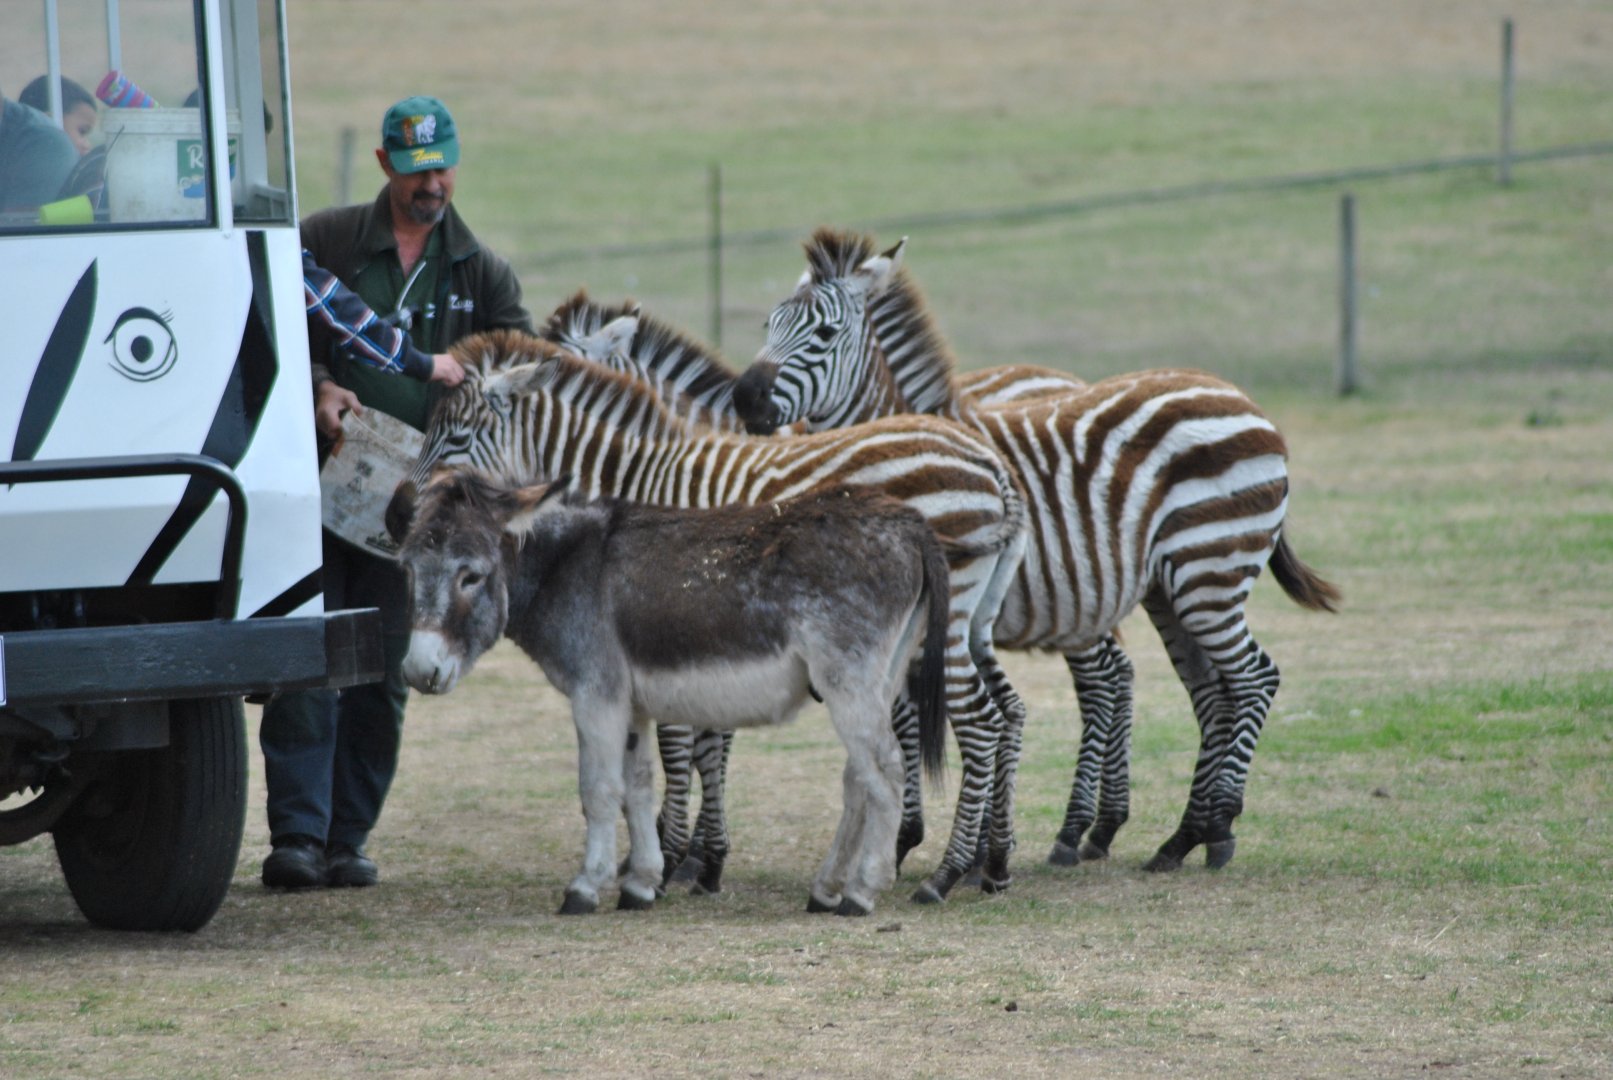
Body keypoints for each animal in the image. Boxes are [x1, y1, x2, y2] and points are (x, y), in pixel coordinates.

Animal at [387, 332, 1031, 903]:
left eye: (455, 436)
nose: (397, 517)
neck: (629, 477)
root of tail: (993, 465)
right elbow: (689, 754)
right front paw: (685, 861)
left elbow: (667, 756)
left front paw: (670, 860)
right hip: (955, 629)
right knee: (1000, 715)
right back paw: (984, 863)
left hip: (931, 632)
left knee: (971, 726)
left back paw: (939, 873)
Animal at [732, 227, 1342, 873]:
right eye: (769, 323)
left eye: (824, 334)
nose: (744, 399)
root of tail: (1241, 397)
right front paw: (964, 846)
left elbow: (909, 717)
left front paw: (912, 842)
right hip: (1170, 586)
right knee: (1210, 690)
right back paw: (1184, 836)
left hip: (1210, 571)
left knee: (1253, 678)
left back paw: (1209, 823)